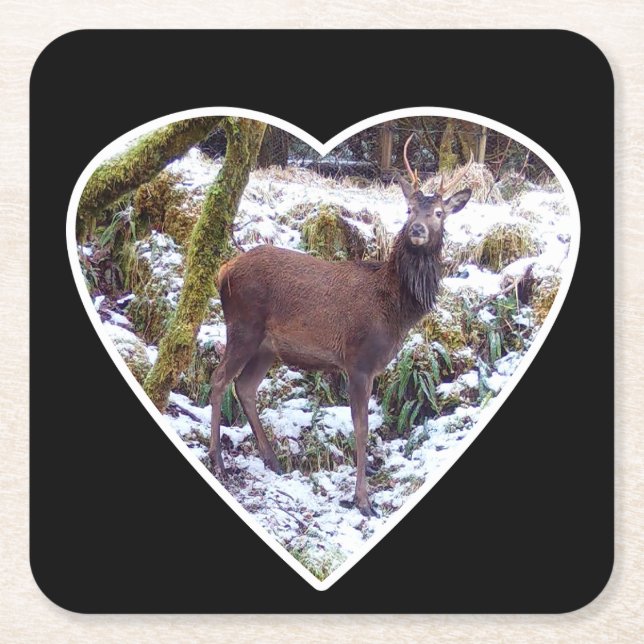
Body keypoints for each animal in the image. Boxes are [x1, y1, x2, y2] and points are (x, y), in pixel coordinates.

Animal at [209, 135, 473, 517]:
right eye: (409, 209)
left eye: (438, 213)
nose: (417, 230)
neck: (395, 311)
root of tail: (223, 271)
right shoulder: (358, 360)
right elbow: (361, 428)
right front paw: (363, 500)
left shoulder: (371, 366)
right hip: (243, 326)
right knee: (218, 379)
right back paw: (218, 461)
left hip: (266, 346)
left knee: (244, 387)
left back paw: (273, 459)